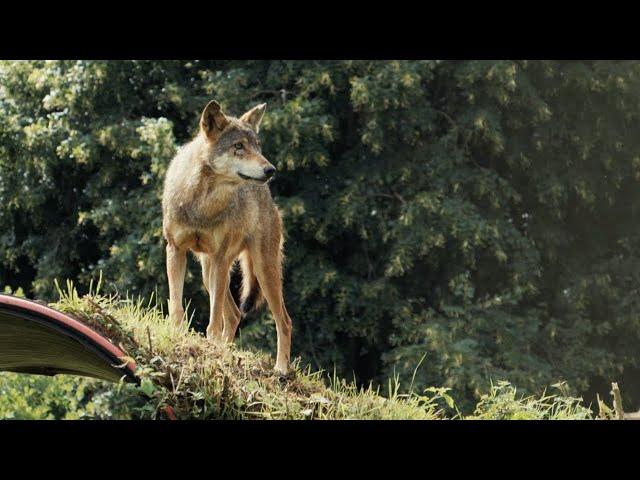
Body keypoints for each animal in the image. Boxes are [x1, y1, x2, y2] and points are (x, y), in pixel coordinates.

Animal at [162, 98, 292, 376]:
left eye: (257, 146)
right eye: (239, 146)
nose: (271, 169)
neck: (202, 203)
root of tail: (268, 196)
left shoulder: (220, 258)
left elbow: (213, 321)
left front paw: (210, 347)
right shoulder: (175, 250)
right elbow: (176, 307)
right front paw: (177, 336)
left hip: (262, 271)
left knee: (284, 321)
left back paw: (281, 369)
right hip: (207, 270)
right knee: (233, 315)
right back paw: (227, 351)